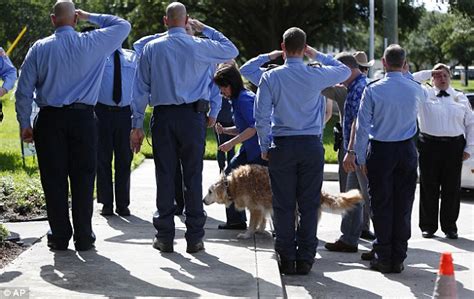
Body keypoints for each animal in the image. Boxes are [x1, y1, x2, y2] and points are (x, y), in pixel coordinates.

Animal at [203, 164, 362, 239]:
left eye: (210, 191)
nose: (203, 201)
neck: (232, 185)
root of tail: (320, 192)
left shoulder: (255, 207)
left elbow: (252, 223)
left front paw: (248, 234)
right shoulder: (262, 207)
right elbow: (263, 219)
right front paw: (261, 230)